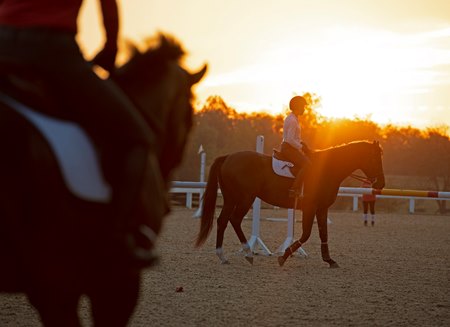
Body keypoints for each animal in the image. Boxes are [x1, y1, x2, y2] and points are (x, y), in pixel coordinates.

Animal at [195, 141, 384, 270]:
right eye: (375, 158)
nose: (381, 184)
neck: (327, 170)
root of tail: (228, 157)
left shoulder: (322, 208)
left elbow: (323, 234)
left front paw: (329, 260)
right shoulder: (310, 207)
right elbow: (306, 234)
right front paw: (284, 256)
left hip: (231, 199)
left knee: (223, 221)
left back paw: (222, 256)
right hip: (245, 198)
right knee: (234, 220)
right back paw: (248, 253)